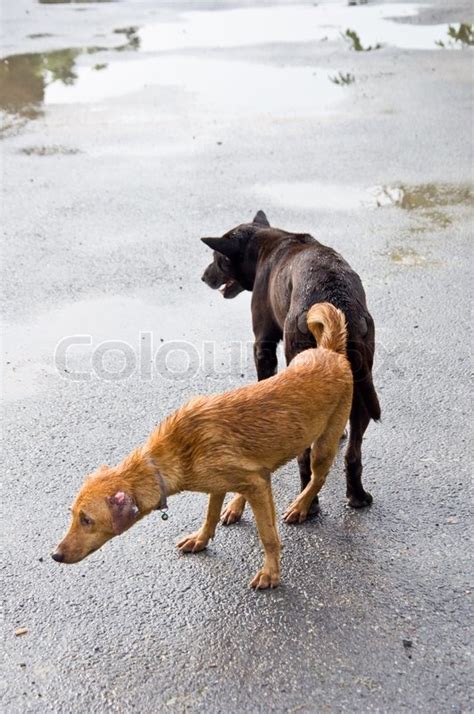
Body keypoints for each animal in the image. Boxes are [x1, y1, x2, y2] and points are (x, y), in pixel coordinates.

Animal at [53, 304, 354, 588]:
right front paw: (201, 539)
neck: (169, 456)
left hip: (324, 445)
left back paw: (300, 506)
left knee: (317, 478)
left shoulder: (252, 485)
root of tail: (330, 351)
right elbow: (210, 515)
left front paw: (270, 572)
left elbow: (267, 535)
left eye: (87, 520)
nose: (55, 555)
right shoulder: (223, 484)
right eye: (73, 515)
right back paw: (236, 506)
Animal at [202, 209, 380, 520]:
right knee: (353, 453)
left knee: (305, 456)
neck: (267, 242)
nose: (203, 276)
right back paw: (356, 496)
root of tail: (338, 299)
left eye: (217, 258)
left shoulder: (263, 345)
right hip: (362, 386)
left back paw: (307, 504)